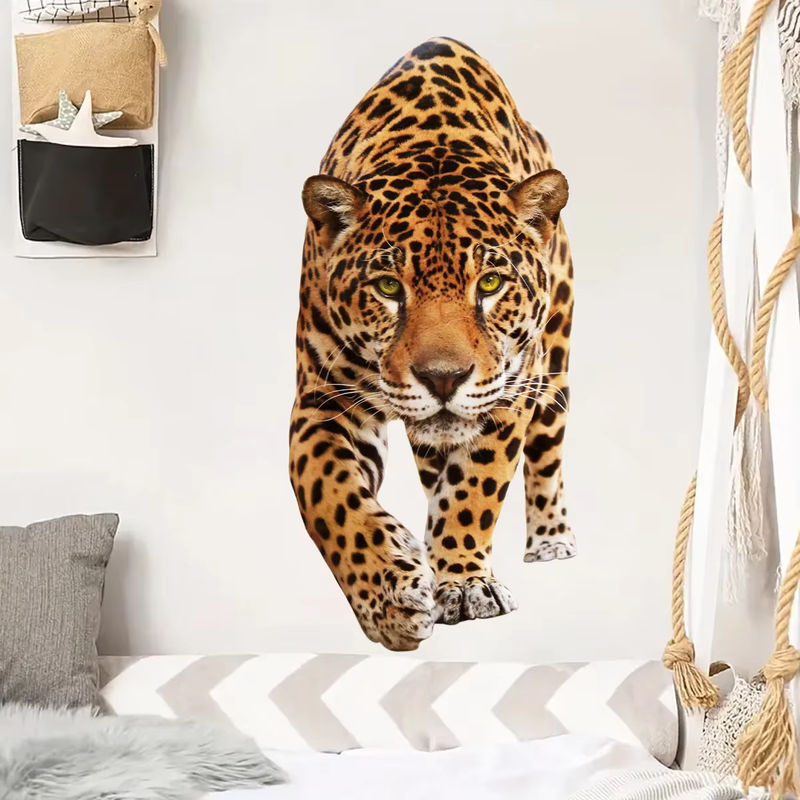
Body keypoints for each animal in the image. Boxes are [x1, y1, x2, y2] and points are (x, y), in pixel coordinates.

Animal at [289, 37, 575, 651]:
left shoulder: (508, 391)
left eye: (489, 284)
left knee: (547, 452)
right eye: (388, 287)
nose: (443, 378)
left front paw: (465, 583)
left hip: (555, 365)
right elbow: (329, 497)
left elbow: (476, 488)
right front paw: (389, 599)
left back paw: (550, 539)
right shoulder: (322, 400)